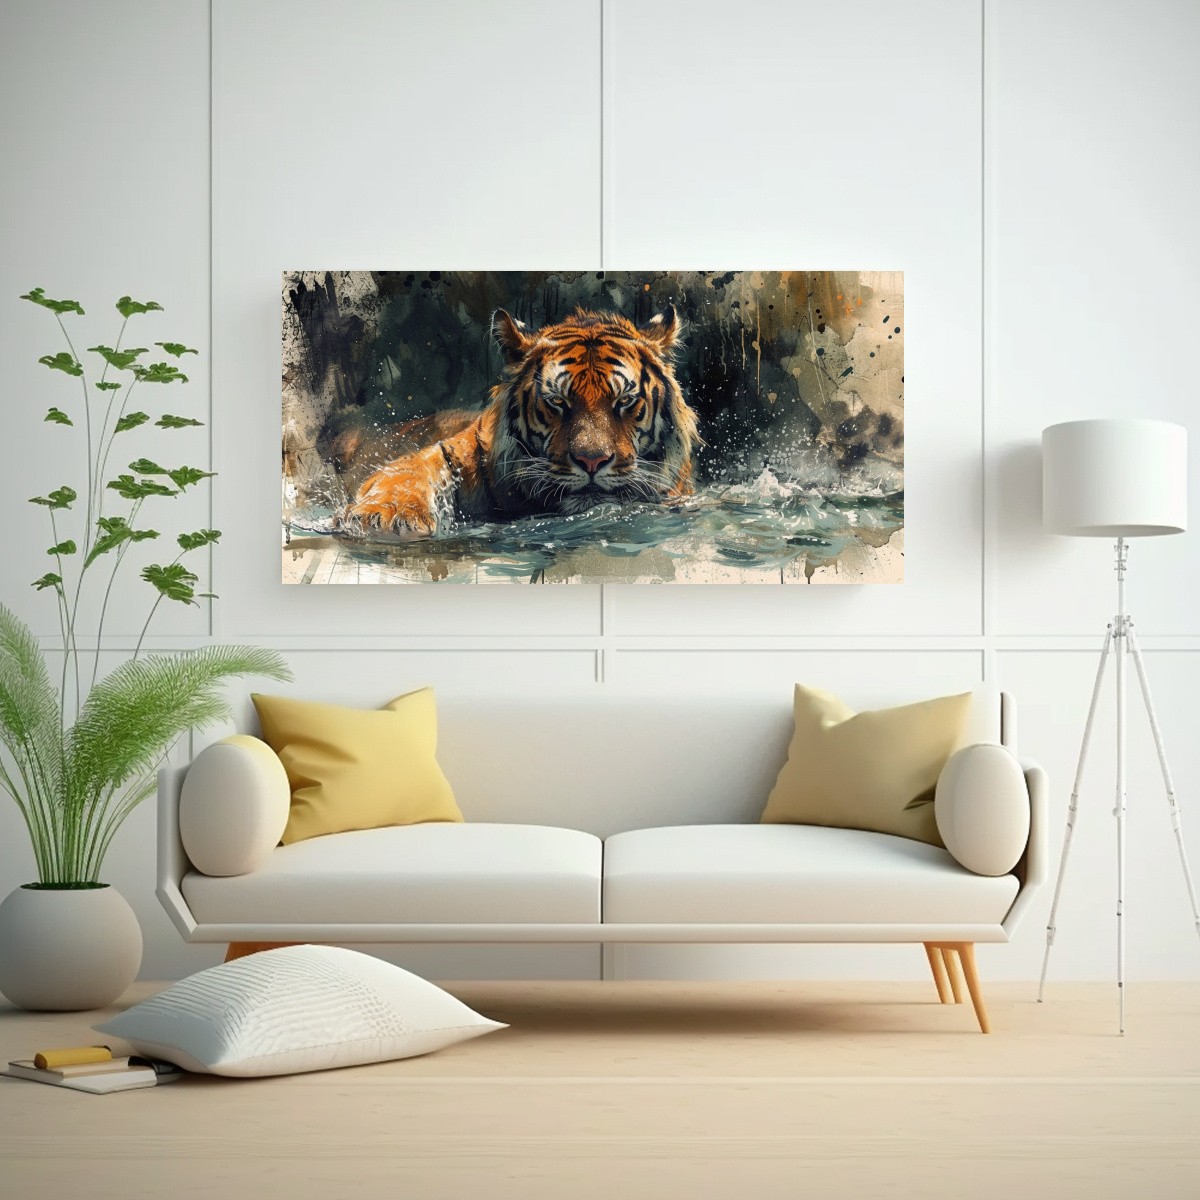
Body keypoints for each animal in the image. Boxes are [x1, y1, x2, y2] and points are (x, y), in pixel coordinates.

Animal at [338, 305, 700, 539]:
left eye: (624, 401)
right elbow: (410, 471)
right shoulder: (452, 451)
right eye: (558, 401)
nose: (591, 462)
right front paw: (385, 516)